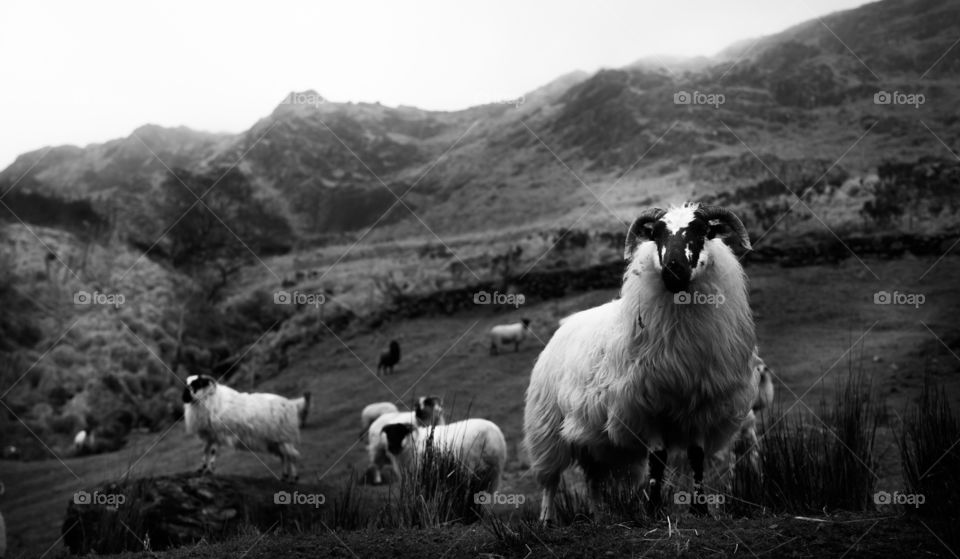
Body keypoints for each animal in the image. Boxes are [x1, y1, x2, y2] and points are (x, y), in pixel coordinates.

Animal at [181, 374, 311, 482]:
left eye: (196, 384)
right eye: (186, 383)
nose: (184, 397)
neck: (208, 399)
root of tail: (291, 404)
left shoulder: (218, 433)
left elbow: (213, 451)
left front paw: (210, 469)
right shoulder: (210, 434)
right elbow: (205, 450)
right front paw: (201, 468)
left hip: (284, 437)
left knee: (292, 456)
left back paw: (294, 478)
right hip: (275, 441)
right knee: (284, 456)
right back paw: (284, 477)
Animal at [524, 203, 757, 521]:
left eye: (701, 232)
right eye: (656, 234)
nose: (673, 271)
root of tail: (566, 325)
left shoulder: (701, 403)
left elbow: (696, 457)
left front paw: (700, 508)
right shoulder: (646, 406)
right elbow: (658, 459)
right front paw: (655, 508)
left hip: (591, 438)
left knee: (592, 478)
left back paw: (599, 516)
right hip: (546, 426)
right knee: (550, 478)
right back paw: (548, 519)